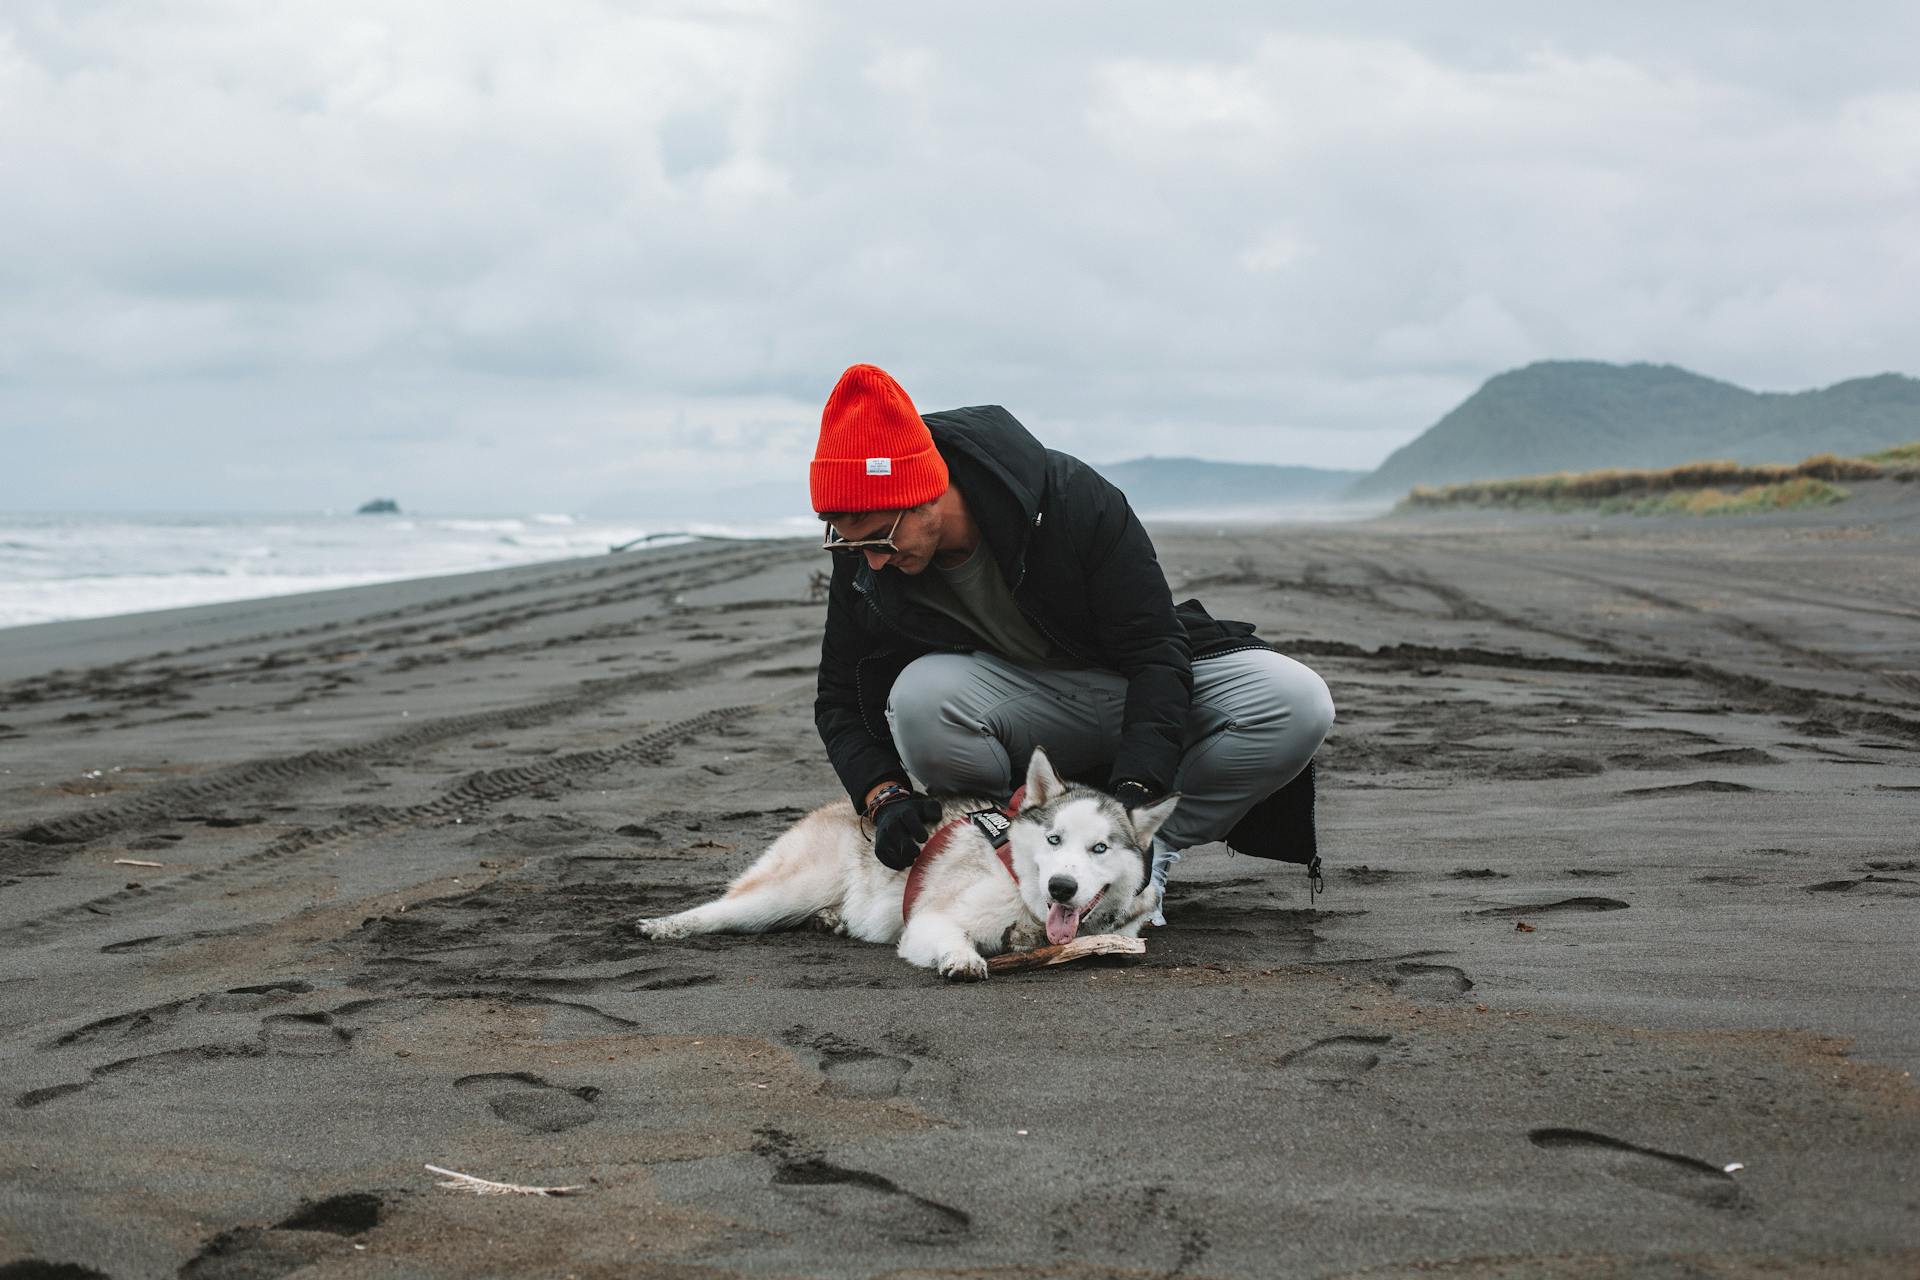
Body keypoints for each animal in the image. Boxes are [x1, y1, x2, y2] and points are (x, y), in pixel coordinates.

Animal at [637, 752, 1175, 982]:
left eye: (1100, 848)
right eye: (1054, 840)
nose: (1061, 887)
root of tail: (842, 808)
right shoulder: (928, 920)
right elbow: (951, 937)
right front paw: (961, 958)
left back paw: (833, 920)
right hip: (784, 892)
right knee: (722, 910)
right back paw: (664, 925)